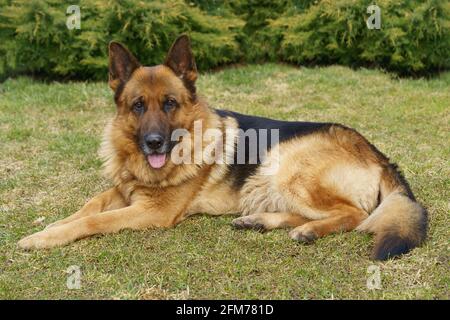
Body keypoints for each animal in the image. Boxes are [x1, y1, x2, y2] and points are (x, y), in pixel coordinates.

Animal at [17, 35, 428, 260]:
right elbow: (88, 206)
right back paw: (261, 221)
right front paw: (49, 227)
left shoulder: (152, 211)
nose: (154, 143)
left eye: (170, 103)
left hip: (289, 166)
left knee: (356, 215)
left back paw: (308, 231)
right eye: (137, 106)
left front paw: (46, 237)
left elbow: (93, 220)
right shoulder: (125, 189)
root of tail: (381, 156)